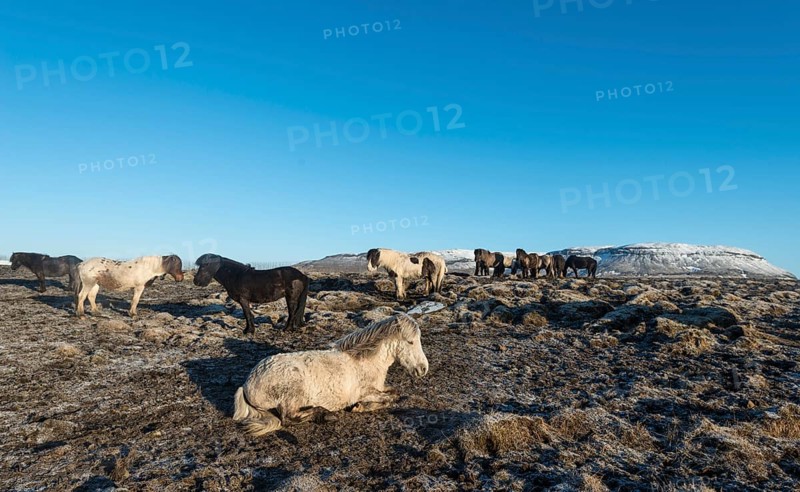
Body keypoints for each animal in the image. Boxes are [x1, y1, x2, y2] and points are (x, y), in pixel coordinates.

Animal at [233, 313, 428, 436]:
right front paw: (360, 407)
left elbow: (394, 392)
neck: (364, 361)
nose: (423, 369)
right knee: (288, 418)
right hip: (294, 392)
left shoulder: (379, 387)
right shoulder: (365, 392)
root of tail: (247, 384)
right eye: (411, 342)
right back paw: (326, 414)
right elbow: (389, 399)